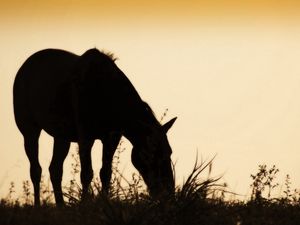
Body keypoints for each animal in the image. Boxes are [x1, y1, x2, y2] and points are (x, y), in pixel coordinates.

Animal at [14, 48, 177, 206]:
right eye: (152, 154)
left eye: (169, 152)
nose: (168, 192)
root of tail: (23, 68)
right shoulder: (86, 137)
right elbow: (86, 173)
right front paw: (84, 204)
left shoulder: (111, 138)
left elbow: (105, 172)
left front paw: (104, 202)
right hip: (29, 130)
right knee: (36, 169)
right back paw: (37, 206)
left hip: (61, 137)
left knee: (55, 169)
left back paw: (61, 206)